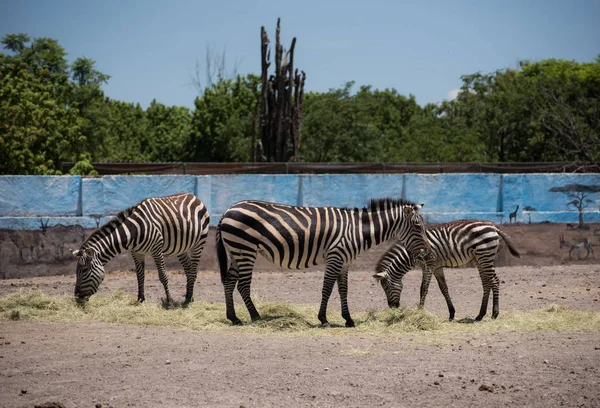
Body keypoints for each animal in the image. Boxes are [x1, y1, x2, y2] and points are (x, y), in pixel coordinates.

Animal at [71, 194, 209, 306]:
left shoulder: (156, 250)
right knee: (188, 268)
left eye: (84, 270)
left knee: (193, 270)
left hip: (198, 243)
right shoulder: (136, 253)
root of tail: (193, 196)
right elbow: (140, 276)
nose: (76, 298)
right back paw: (188, 297)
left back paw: (189, 299)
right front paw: (140, 299)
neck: (133, 231)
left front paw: (169, 302)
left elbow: (162, 276)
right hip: (180, 248)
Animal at [217, 198, 432, 328]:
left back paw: (233, 317)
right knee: (243, 285)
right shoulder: (335, 256)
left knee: (229, 282)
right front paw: (324, 319)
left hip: (236, 251)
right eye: (417, 226)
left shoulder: (345, 261)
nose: (428, 252)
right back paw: (255, 316)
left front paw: (348, 319)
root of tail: (228, 209)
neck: (358, 230)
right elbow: (327, 288)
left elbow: (343, 289)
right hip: (245, 249)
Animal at [376, 220, 520, 322]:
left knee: (494, 281)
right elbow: (443, 288)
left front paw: (420, 311)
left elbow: (423, 288)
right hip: (479, 258)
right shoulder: (437, 267)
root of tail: (493, 226)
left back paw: (495, 313)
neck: (411, 253)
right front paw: (451, 314)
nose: (392, 307)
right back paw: (480, 314)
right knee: (486, 282)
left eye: (386, 288)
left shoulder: (428, 264)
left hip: (485, 255)